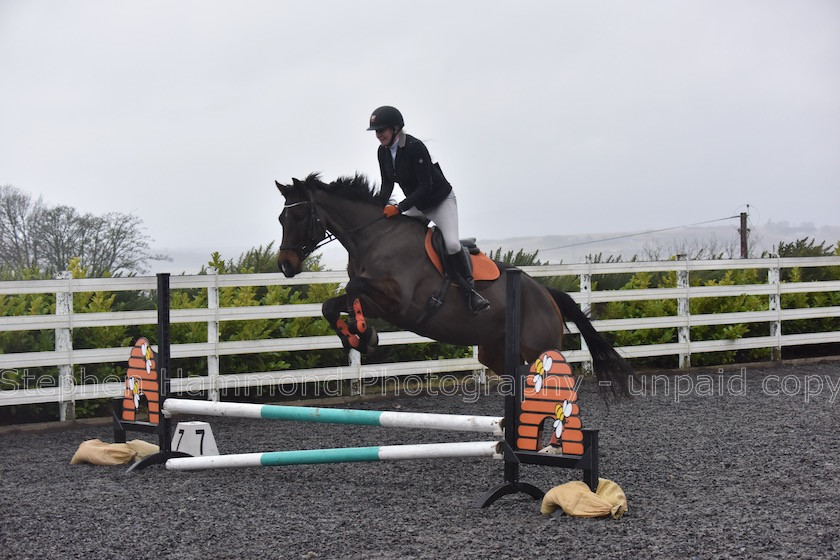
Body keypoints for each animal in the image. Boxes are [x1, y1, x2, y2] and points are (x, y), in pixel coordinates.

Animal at [274, 175, 632, 398]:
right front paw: (359, 338)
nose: (285, 265)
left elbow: (352, 288)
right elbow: (332, 304)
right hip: (497, 353)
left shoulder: (396, 299)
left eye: (300, 216)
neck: (373, 235)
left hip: (538, 349)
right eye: (281, 219)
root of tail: (548, 295)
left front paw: (363, 333)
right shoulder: (382, 303)